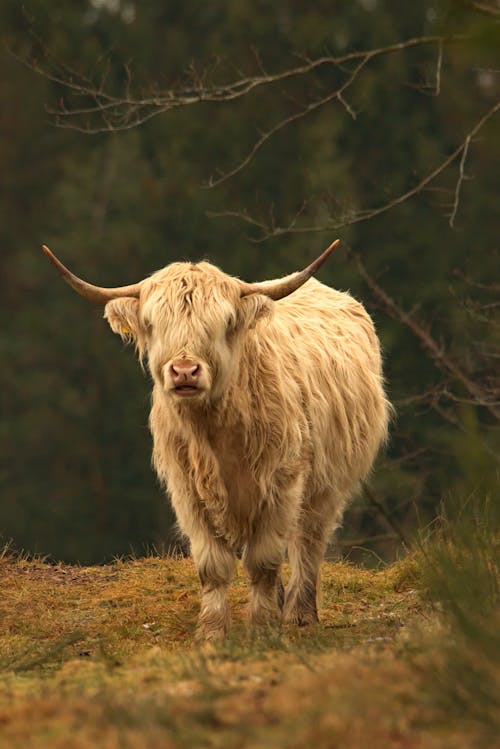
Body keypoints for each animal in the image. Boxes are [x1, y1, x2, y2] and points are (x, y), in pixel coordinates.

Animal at [43, 240, 390, 636]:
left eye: (223, 322)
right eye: (152, 323)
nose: (184, 371)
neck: (214, 435)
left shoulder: (282, 483)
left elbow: (264, 560)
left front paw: (261, 627)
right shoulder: (187, 490)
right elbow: (212, 565)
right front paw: (212, 630)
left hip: (327, 484)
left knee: (308, 542)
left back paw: (300, 614)